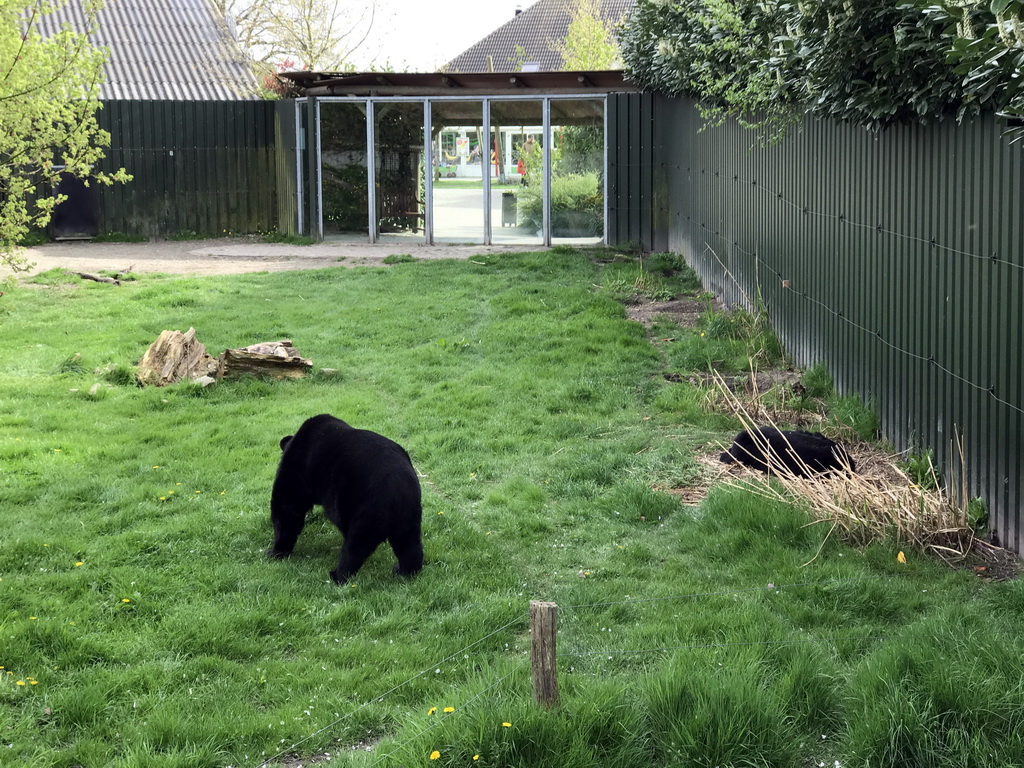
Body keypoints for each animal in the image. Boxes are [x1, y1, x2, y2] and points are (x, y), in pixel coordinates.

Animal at [268, 417, 423, 585]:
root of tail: (399, 490)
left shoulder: (298, 468)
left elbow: (287, 507)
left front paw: (276, 551)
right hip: (409, 515)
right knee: (409, 543)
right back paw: (404, 571)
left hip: (367, 508)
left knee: (356, 545)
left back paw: (338, 575)